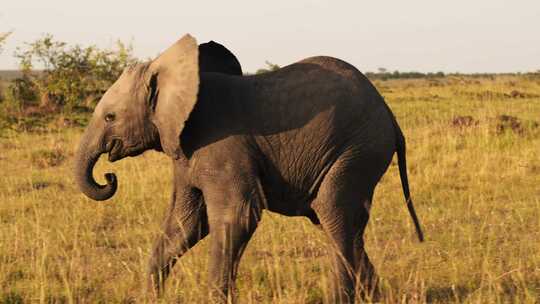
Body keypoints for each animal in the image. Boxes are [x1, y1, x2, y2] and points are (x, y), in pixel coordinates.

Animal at [74, 34, 424, 302]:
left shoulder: (223, 146)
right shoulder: (184, 151)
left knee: (333, 213)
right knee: (338, 223)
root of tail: (390, 117)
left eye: (110, 117)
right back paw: (374, 298)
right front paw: (148, 297)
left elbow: (236, 218)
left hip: (358, 149)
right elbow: (185, 224)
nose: (109, 177)